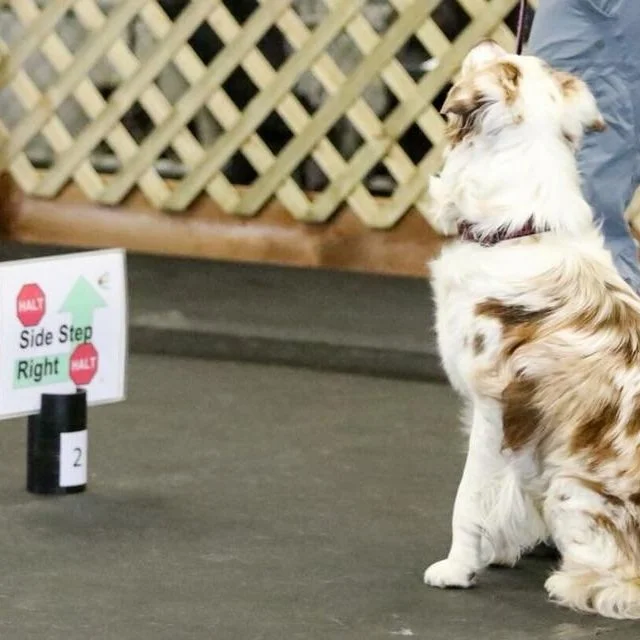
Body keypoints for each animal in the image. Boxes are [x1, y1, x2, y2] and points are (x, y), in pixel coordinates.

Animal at [422, 40, 640, 619]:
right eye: (534, 67)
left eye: (504, 67)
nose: (488, 40)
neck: (514, 231)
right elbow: (506, 491)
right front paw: (497, 549)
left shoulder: (494, 404)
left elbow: (468, 496)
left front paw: (457, 567)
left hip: (573, 484)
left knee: (626, 583)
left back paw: (574, 583)